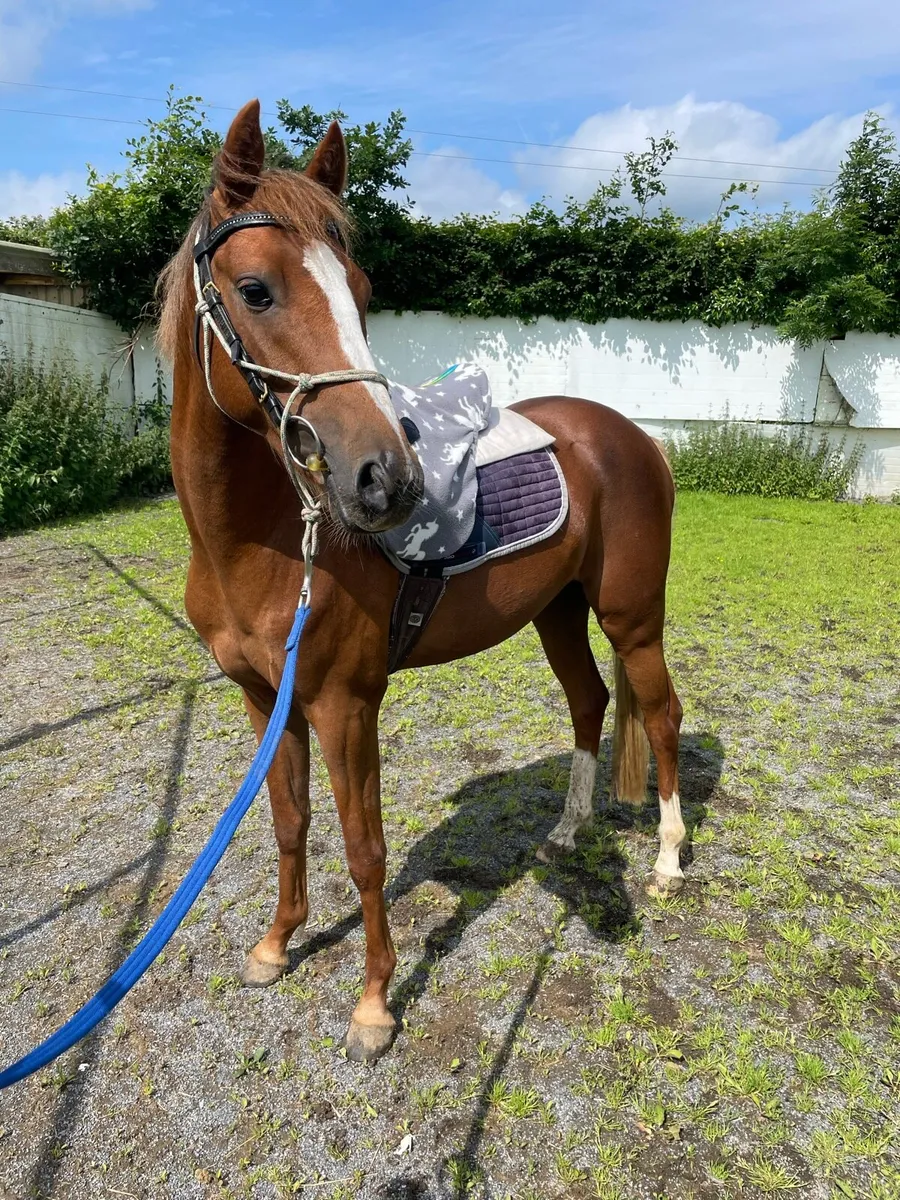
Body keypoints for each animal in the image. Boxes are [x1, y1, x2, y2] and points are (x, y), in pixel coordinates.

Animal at [158, 99, 685, 1063]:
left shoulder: (345, 705)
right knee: (590, 703)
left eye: (362, 292)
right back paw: (566, 830)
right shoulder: (264, 699)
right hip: (557, 613)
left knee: (660, 715)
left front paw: (372, 1004)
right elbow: (288, 821)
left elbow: (365, 848)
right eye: (255, 290)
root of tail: (629, 435)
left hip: (632, 617)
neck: (262, 543)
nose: (386, 481)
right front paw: (276, 945)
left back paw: (668, 860)